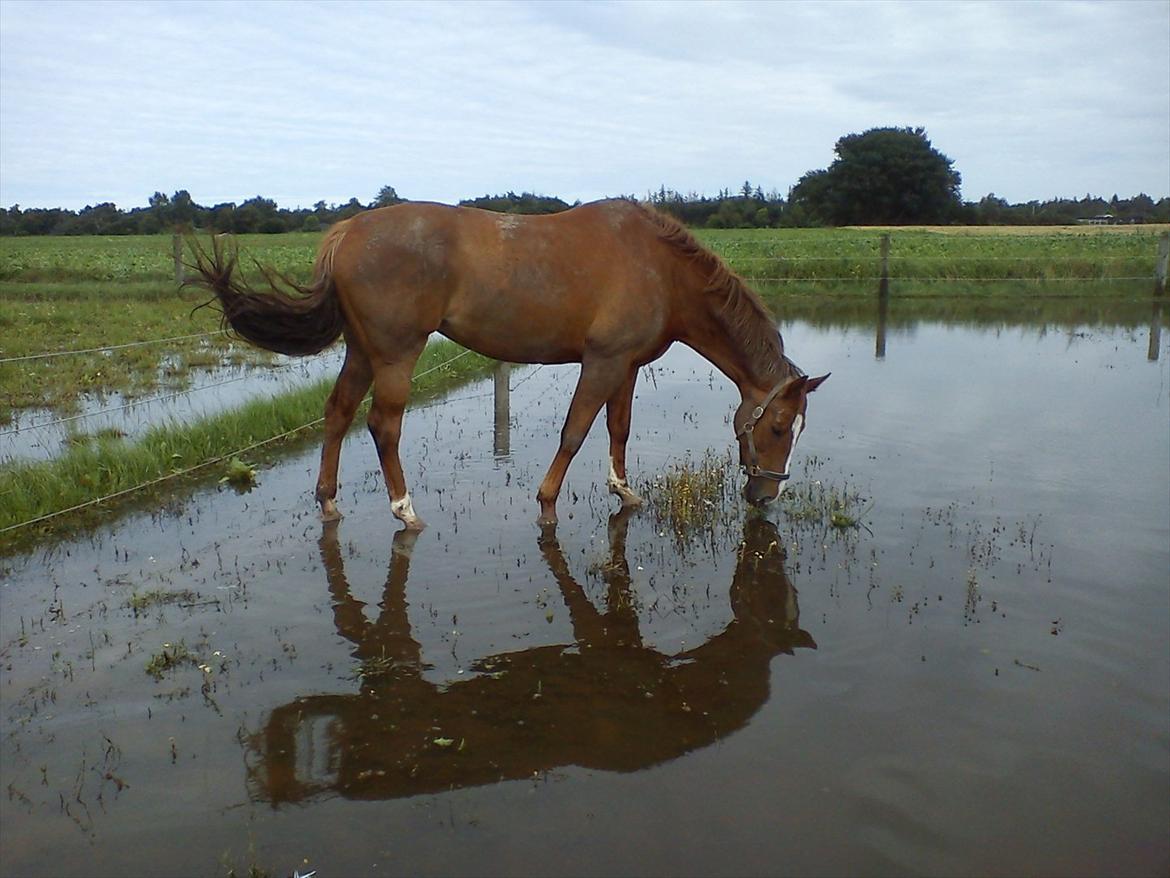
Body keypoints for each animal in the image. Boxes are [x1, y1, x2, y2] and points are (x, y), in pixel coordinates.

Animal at [187, 199, 828, 529]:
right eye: (776, 427)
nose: (765, 496)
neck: (660, 269)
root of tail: (346, 232)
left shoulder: (626, 366)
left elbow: (618, 429)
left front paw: (624, 492)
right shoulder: (601, 362)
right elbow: (575, 432)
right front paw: (546, 503)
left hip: (362, 350)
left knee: (338, 413)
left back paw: (328, 501)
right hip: (396, 352)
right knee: (382, 425)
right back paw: (405, 510)